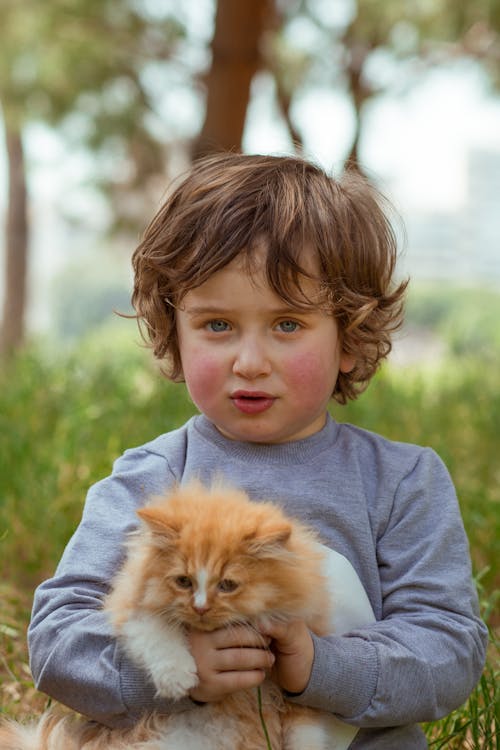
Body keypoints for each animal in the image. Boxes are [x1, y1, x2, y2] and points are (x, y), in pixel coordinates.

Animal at [0, 482, 360, 750]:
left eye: (227, 585)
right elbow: (160, 635)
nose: (200, 607)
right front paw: (179, 678)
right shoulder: (133, 610)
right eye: (184, 581)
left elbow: (306, 728)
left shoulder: (302, 664)